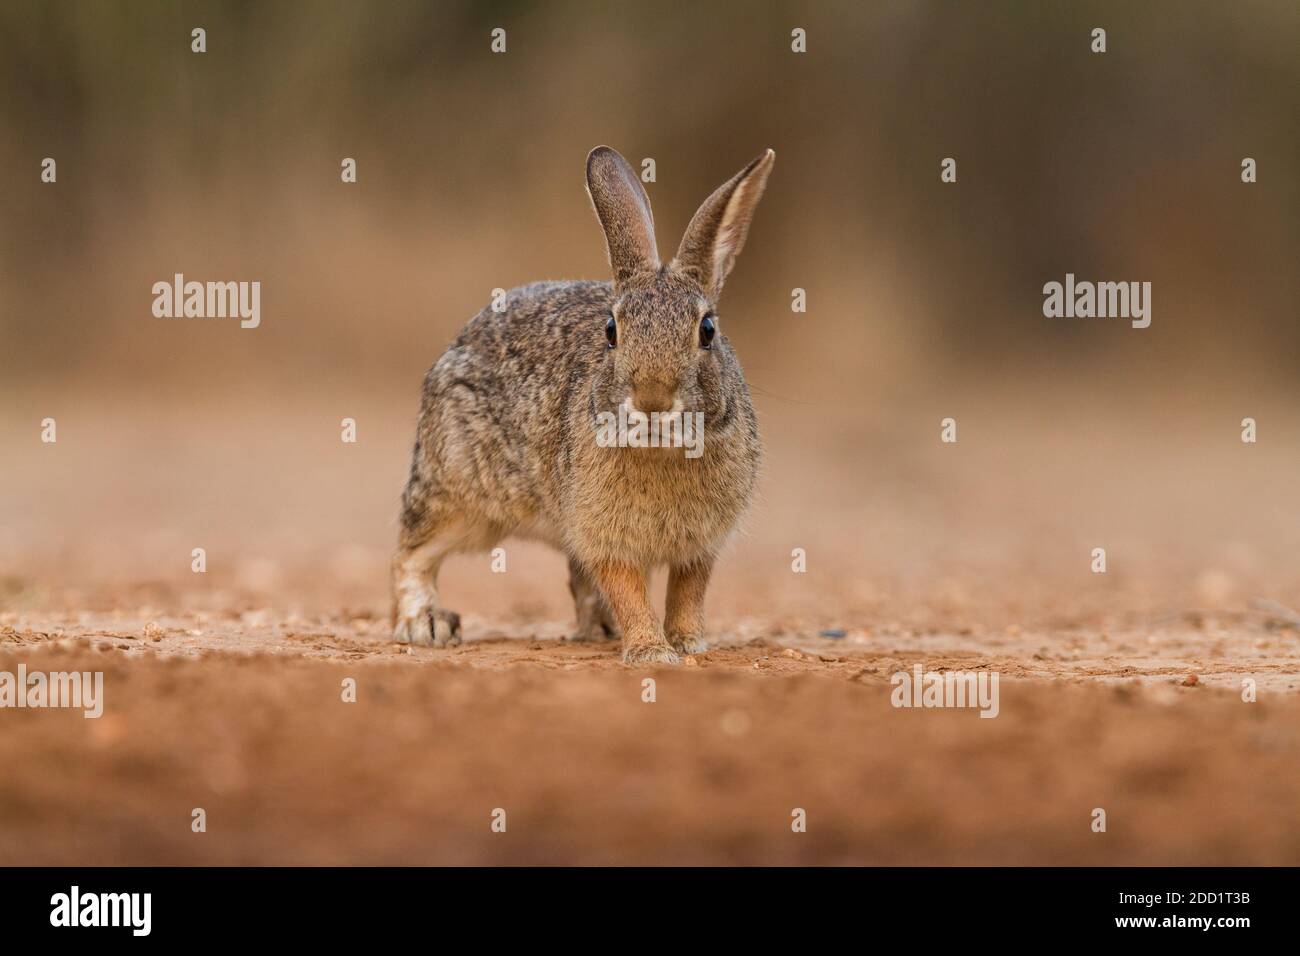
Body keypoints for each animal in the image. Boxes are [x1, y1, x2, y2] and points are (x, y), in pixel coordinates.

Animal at [384, 143, 769, 665]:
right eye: (611, 330)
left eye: (707, 330)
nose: (651, 400)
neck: (661, 449)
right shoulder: (602, 533)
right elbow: (627, 589)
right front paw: (651, 652)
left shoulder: (702, 543)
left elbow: (688, 591)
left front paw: (688, 643)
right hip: (458, 494)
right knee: (412, 550)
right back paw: (425, 624)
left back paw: (601, 631)